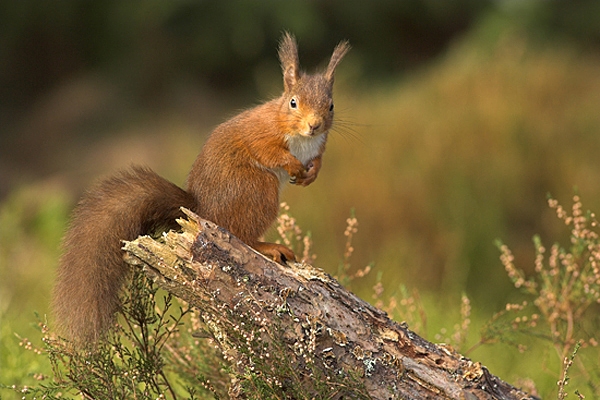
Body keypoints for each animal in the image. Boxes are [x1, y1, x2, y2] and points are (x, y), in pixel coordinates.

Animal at [54, 32, 350, 344]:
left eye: (331, 105)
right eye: (293, 103)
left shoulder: (319, 145)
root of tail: (202, 209)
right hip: (257, 189)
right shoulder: (261, 134)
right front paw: (293, 166)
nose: (314, 125)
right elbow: (271, 153)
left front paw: (311, 174)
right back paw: (267, 246)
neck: (302, 139)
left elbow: (319, 160)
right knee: (241, 233)